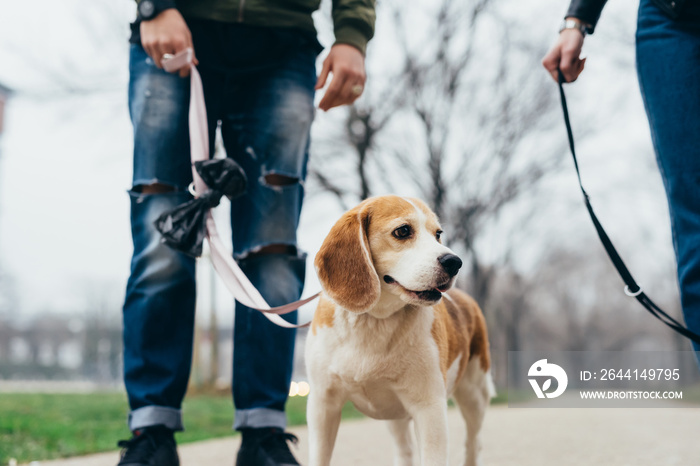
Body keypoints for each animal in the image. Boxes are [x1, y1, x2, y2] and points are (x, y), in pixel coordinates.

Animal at [304, 196, 492, 466]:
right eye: (403, 231)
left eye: (438, 234)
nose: (454, 262)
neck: (373, 321)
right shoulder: (322, 405)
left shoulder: (430, 409)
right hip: (395, 415)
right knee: (405, 451)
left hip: (474, 394)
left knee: (473, 444)